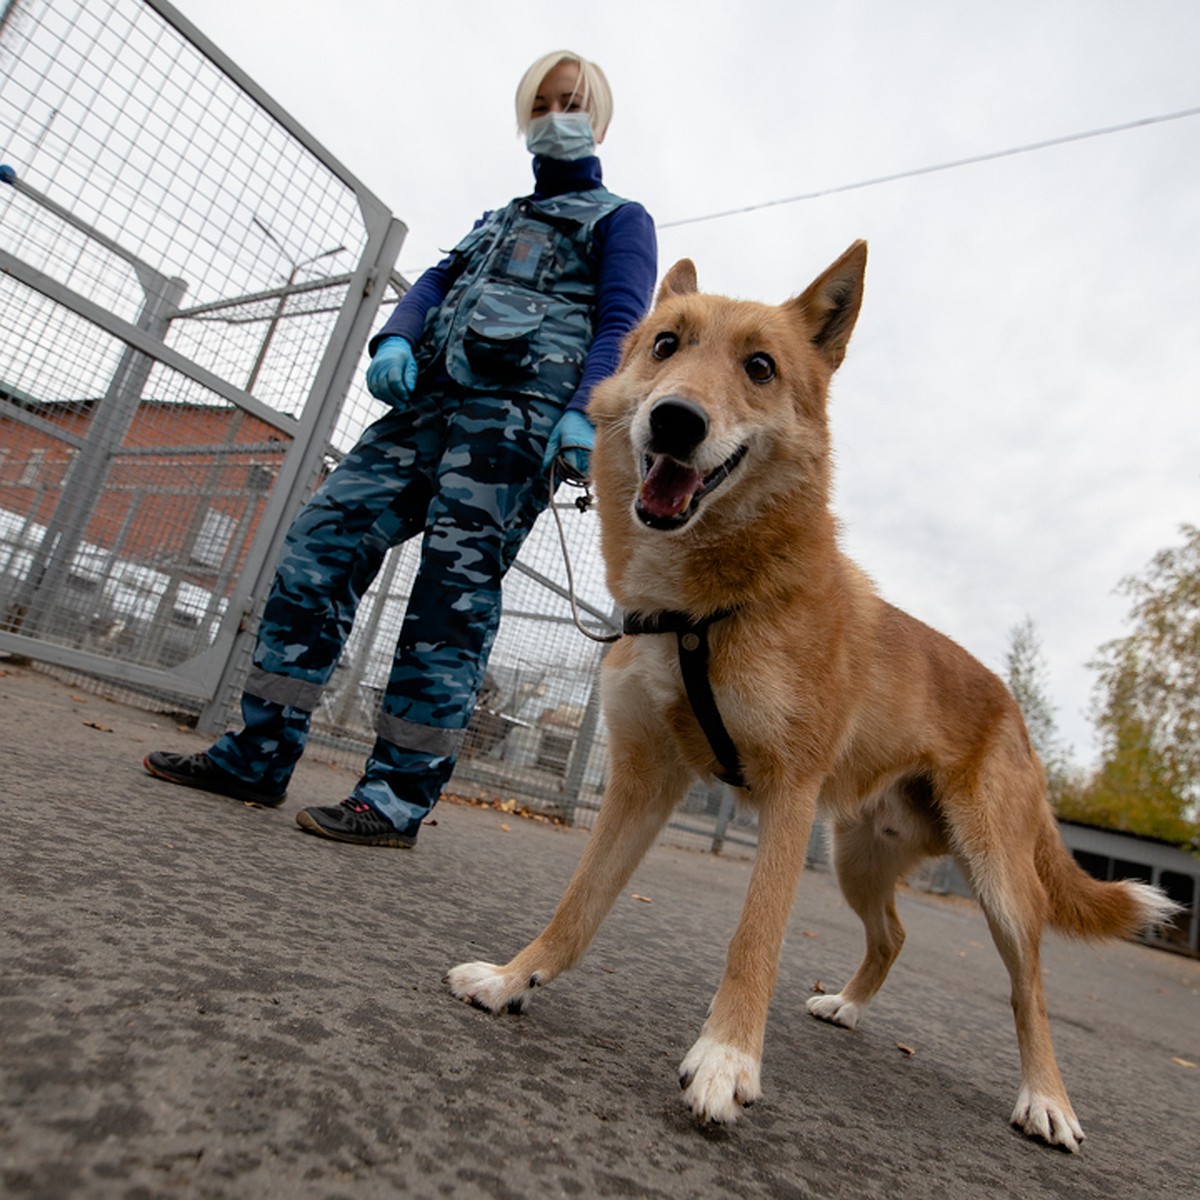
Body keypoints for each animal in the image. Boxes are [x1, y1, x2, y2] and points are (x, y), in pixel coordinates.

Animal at [446, 243, 1176, 1152]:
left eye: (760, 367)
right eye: (664, 345)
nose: (675, 421)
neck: (703, 608)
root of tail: (1010, 704)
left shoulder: (788, 797)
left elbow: (753, 937)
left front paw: (726, 1062)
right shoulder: (642, 783)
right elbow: (578, 903)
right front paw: (515, 978)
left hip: (1000, 882)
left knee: (1028, 990)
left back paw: (1047, 1098)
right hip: (859, 858)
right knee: (894, 933)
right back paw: (850, 1007)